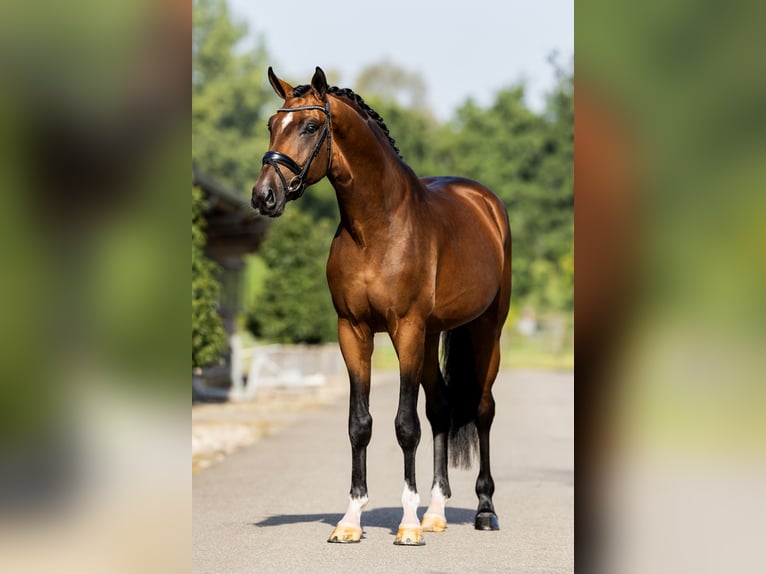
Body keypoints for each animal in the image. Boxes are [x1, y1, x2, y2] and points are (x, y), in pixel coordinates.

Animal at [252, 67, 512, 548]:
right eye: (271, 124)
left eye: (310, 126)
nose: (264, 196)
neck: (376, 228)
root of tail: (484, 201)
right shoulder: (352, 330)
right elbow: (361, 423)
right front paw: (351, 520)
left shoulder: (405, 328)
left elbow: (405, 424)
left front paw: (407, 526)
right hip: (430, 338)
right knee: (442, 410)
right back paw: (436, 512)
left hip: (486, 329)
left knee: (482, 410)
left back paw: (484, 510)